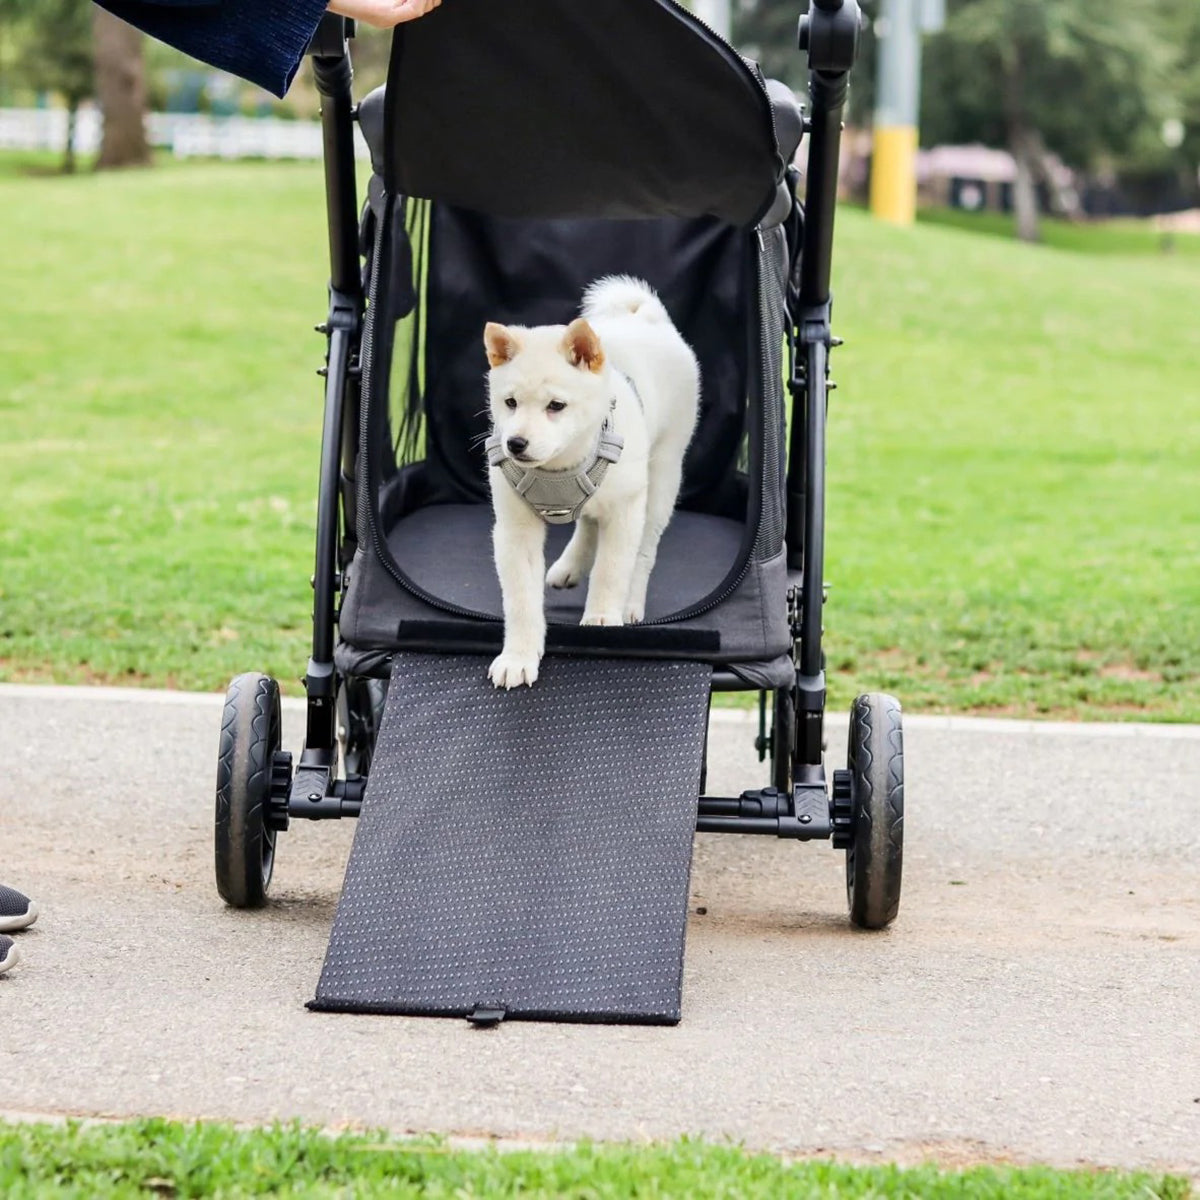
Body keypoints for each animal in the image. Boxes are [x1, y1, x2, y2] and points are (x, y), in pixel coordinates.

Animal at [482, 272, 700, 686]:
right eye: (510, 403)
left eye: (556, 406)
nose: (515, 443)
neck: (558, 469)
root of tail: (648, 318)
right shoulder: (515, 529)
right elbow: (520, 599)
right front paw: (518, 657)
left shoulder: (626, 508)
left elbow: (612, 570)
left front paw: (601, 618)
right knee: (588, 521)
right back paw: (569, 566)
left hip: (663, 476)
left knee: (643, 551)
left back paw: (630, 603)